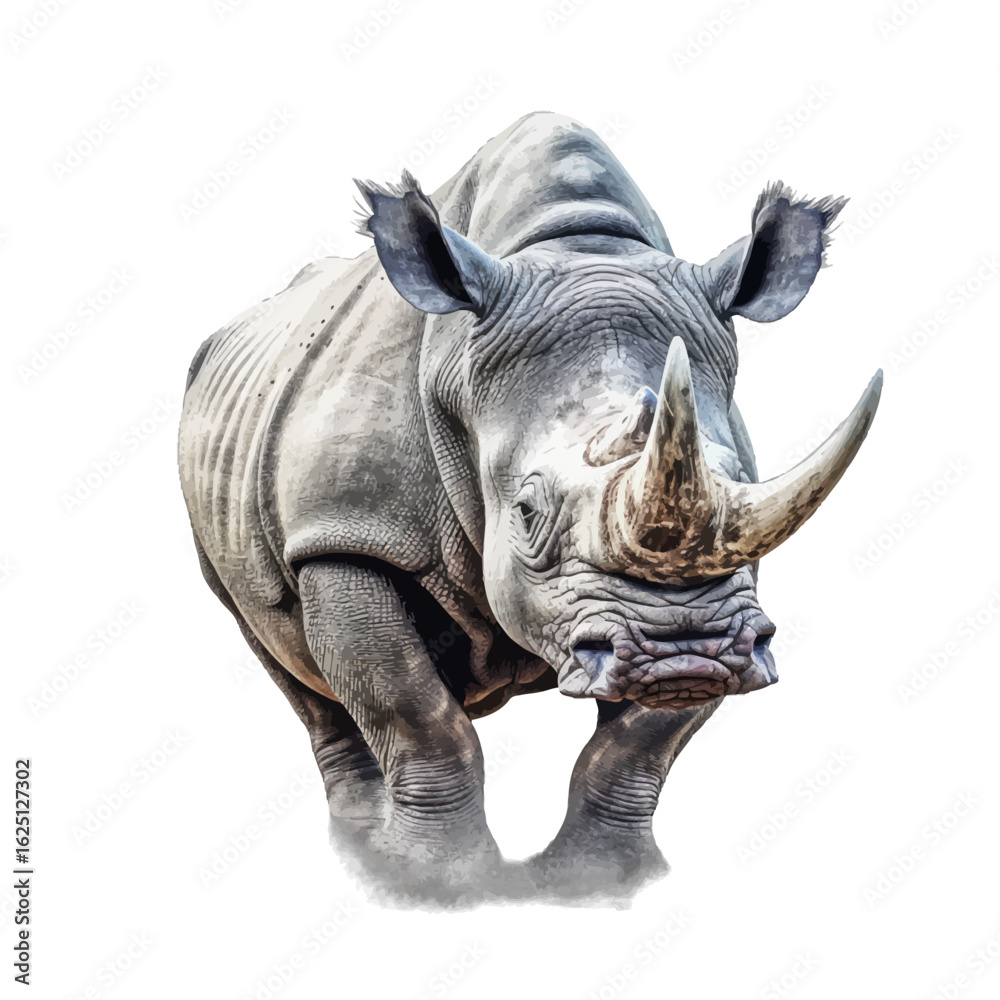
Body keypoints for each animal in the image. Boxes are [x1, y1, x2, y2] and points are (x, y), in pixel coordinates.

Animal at [178, 111, 880, 904]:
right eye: (524, 512)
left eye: (741, 481)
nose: (685, 651)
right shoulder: (344, 533)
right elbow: (415, 715)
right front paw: (436, 883)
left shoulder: (731, 579)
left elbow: (637, 747)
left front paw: (599, 883)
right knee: (285, 660)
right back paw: (359, 855)